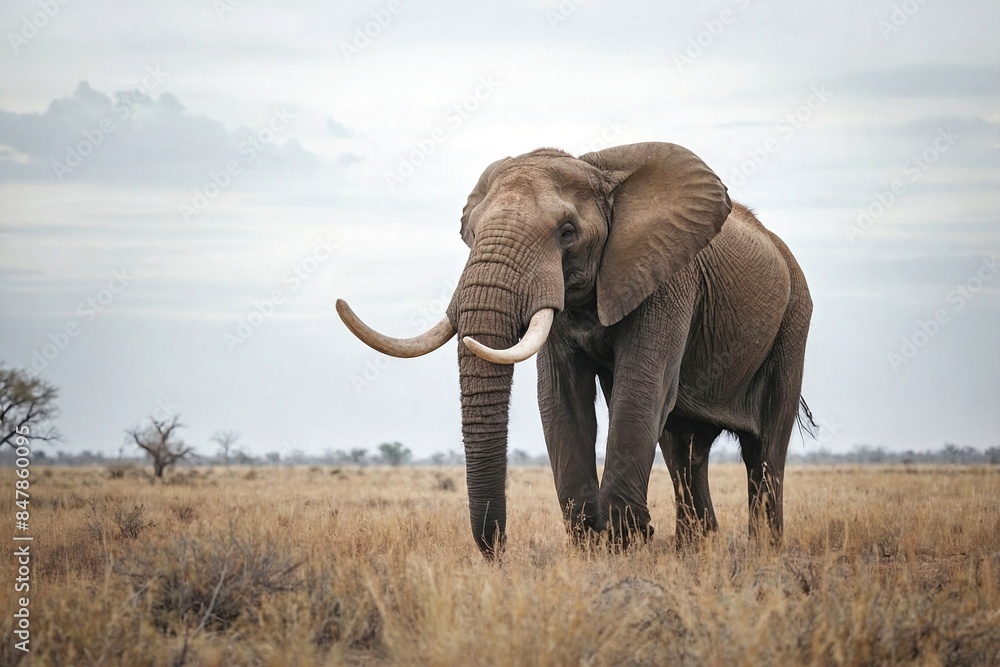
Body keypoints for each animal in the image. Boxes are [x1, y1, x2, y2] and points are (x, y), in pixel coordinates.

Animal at [338, 142, 813, 558]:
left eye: (567, 234)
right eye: (470, 235)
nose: (499, 554)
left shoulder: (668, 277)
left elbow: (641, 386)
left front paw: (624, 545)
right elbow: (560, 398)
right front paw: (591, 546)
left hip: (795, 319)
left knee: (763, 449)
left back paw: (763, 551)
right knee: (684, 447)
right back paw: (696, 549)